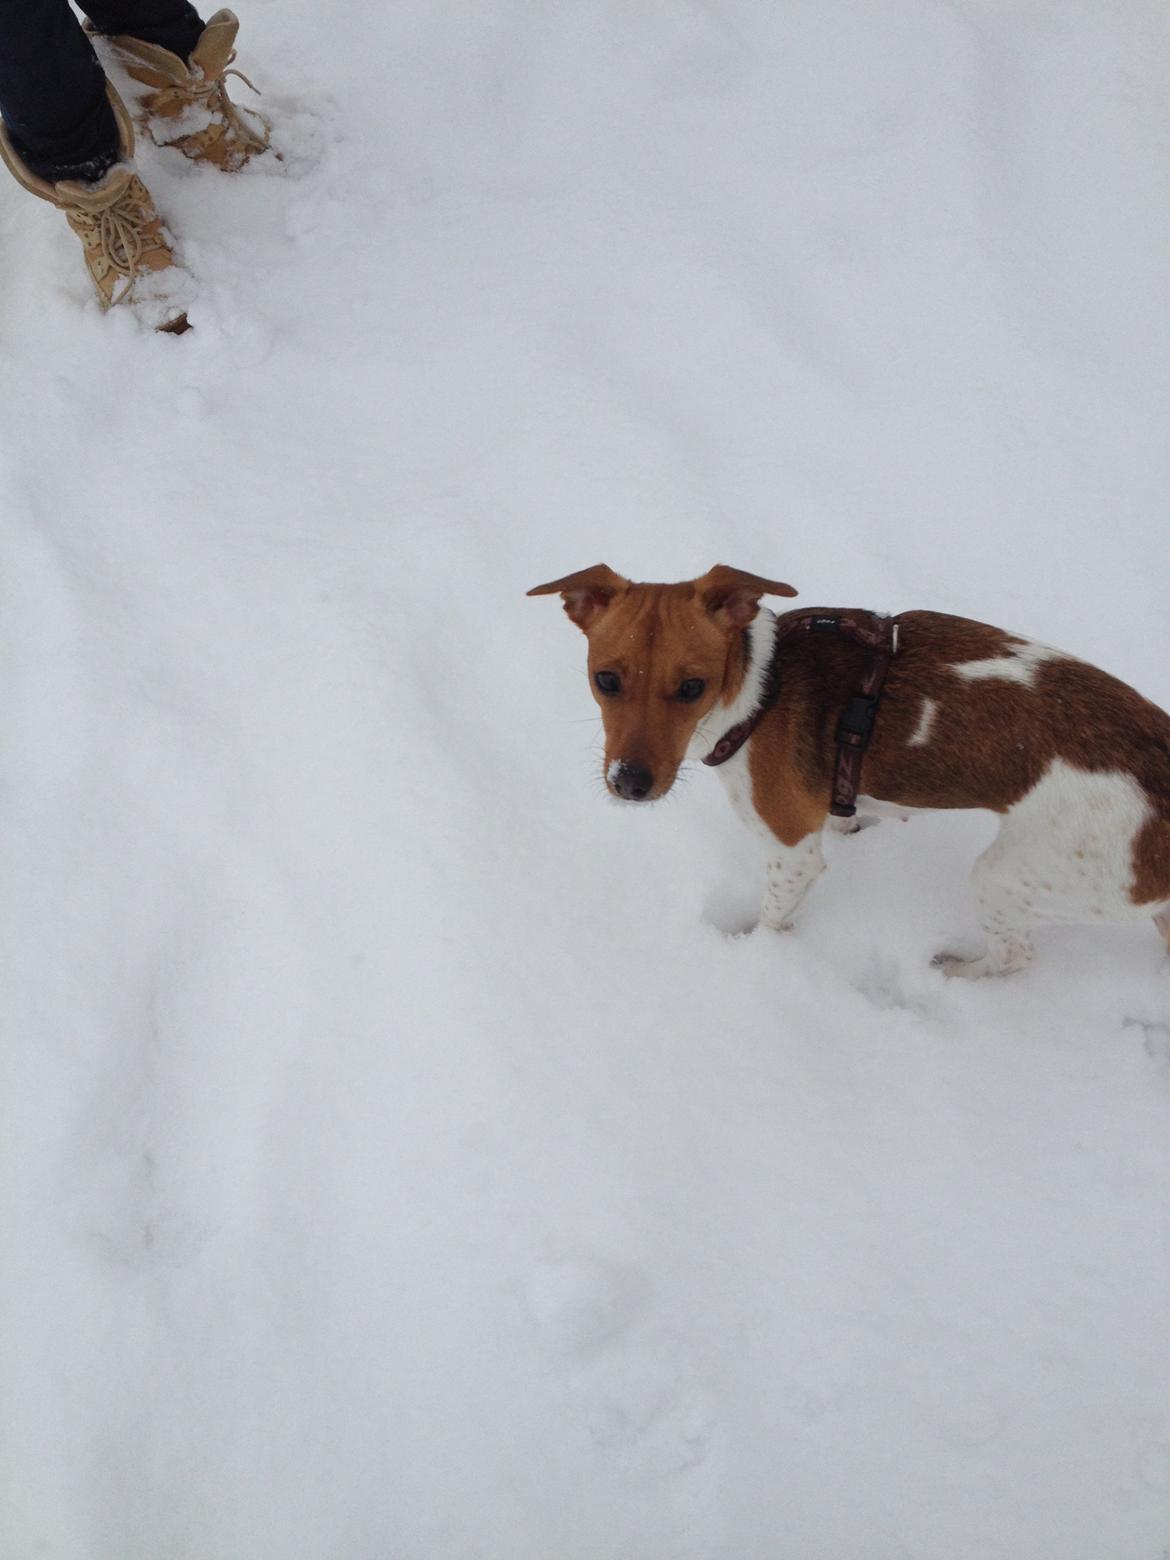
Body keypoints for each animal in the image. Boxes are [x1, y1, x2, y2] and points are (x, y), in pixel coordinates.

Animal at [530, 561, 1170, 973]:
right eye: (605, 680)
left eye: (693, 687)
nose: (630, 784)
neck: (759, 688)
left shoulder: (791, 851)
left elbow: (773, 916)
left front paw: (754, 955)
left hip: (1016, 875)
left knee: (1015, 954)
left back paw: (958, 973)